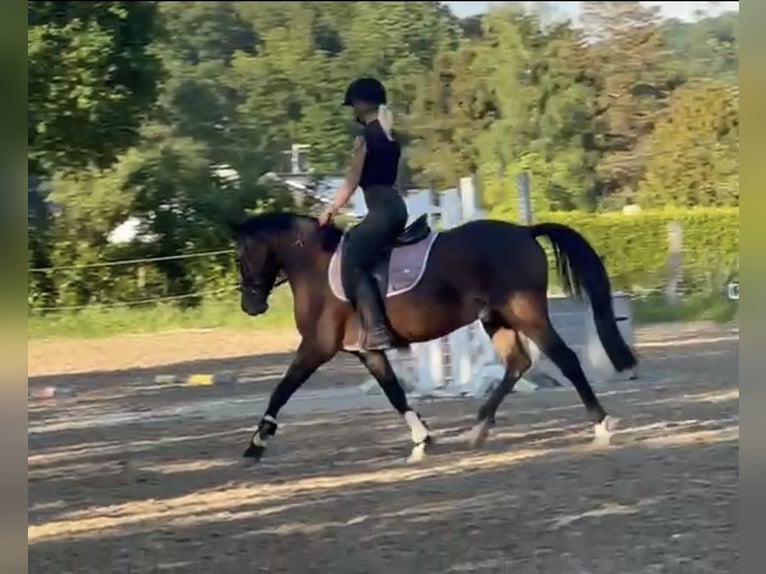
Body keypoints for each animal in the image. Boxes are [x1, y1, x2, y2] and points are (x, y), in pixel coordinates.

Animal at [232, 212, 636, 468]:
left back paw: (601, 426)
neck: (315, 265)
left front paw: (255, 444)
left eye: (241, 258)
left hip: (526, 314)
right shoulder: (366, 351)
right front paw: (422, 440)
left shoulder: (317, 347)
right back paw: (477, 428)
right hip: (496, 319)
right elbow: (394, 392)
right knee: (517, 364)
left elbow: (282, 390)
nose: (250, 307)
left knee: (565, 358)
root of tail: (524, 231)